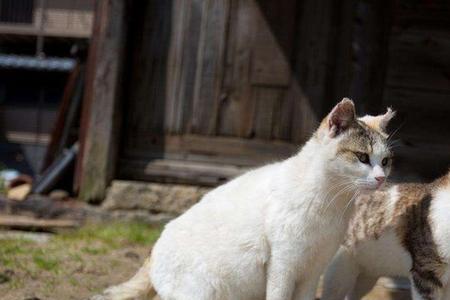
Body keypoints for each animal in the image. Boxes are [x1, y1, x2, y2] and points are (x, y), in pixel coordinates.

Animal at [94, 99, 394, 300]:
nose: (381, 178)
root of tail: (154, 248)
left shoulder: (312, 271)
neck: (332, 202)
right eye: (362, 157)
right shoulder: (283, 265)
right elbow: (279, 295)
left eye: (385, 161)